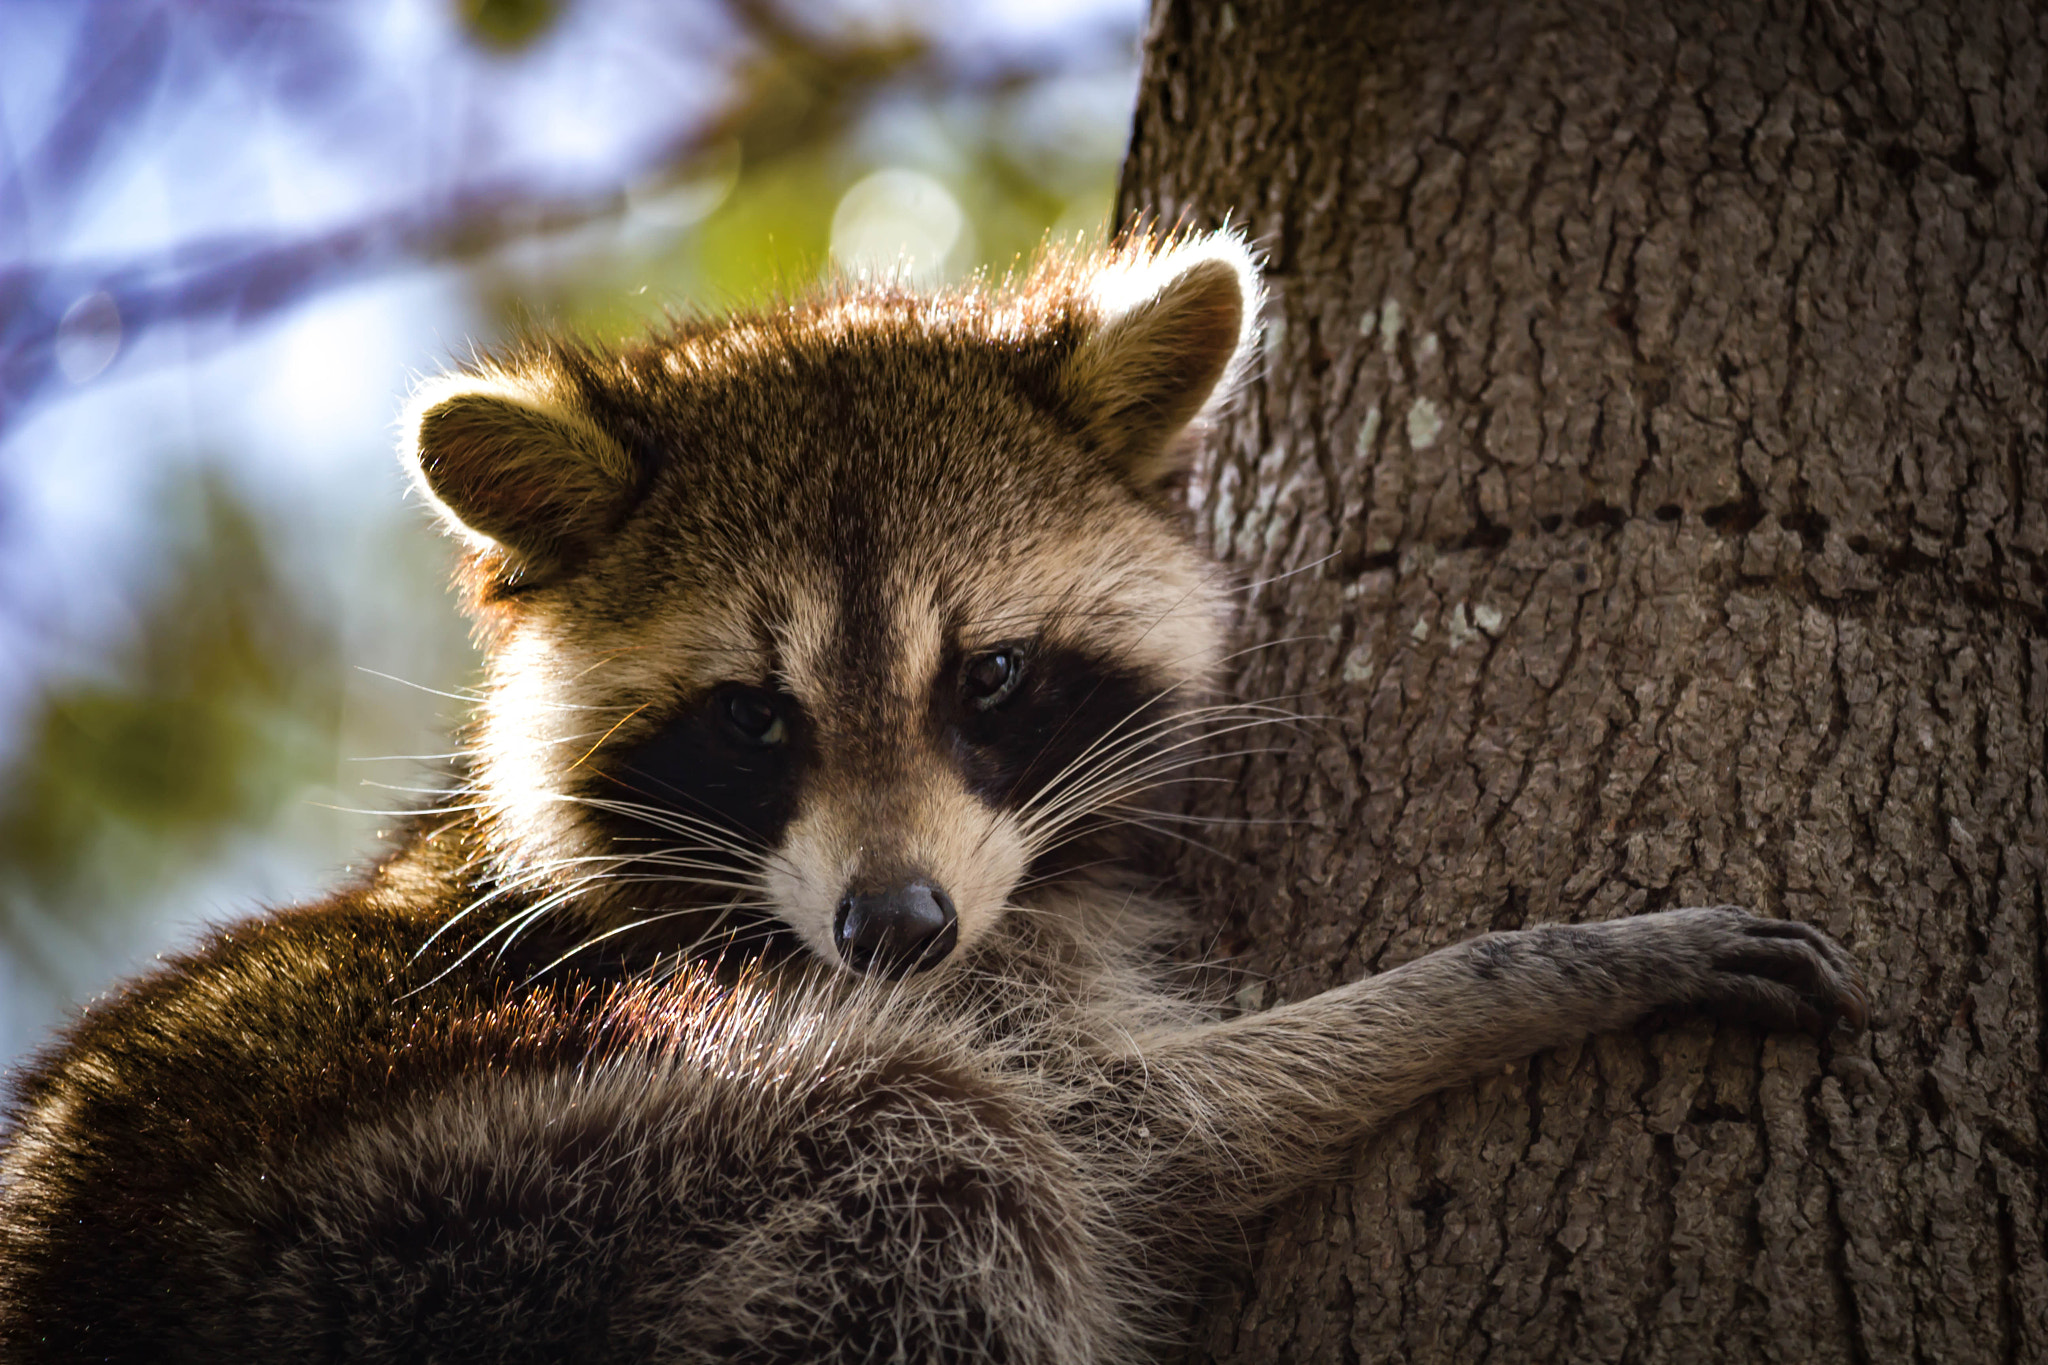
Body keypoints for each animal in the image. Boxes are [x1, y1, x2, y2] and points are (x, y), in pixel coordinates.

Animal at [0, 231, 1867, 1363]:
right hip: (451, 1213)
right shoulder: (792, 999)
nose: (891, 929)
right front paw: (1545, 974)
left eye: (992, 678)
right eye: (753, 719)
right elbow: (1148, 1128)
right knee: (931, 1147)